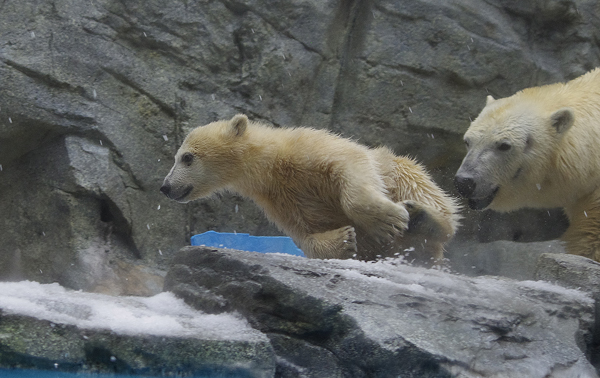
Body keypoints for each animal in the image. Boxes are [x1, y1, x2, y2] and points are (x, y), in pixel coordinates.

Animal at [162, 113, 462, 264]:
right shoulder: (280, 202)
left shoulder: (312, 148)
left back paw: (424, 218)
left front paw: (387, 221)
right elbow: (303, 234)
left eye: (186, 157)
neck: (274, 165)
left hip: (401, 170)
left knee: (424, 191)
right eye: (177, 156)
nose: (165, 187)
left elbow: (352, 165)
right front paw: (344, 241)